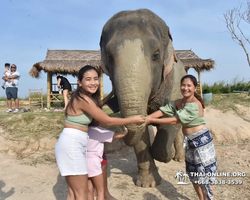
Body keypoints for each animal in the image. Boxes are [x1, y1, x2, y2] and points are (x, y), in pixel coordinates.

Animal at [99, 8, 186, 188]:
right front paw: (148, 184)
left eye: (156, 55)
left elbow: (171, 120)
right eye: (109, 57)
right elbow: (141, 134)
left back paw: (178, 158)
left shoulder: (174, 82)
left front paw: (165, 155)